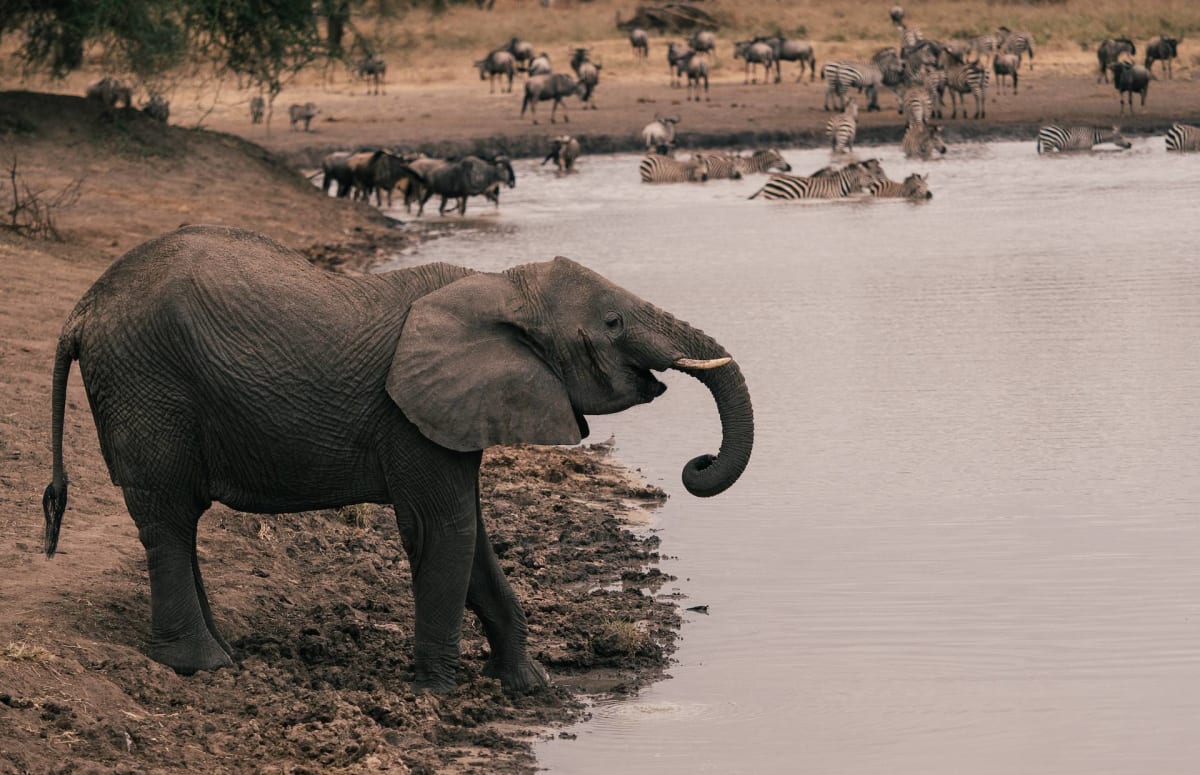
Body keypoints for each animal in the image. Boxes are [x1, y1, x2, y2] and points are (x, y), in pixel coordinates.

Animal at [44, 223, 758, 691]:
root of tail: (82, 310)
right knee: (168, 517)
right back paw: (203, 666)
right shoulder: (410, 417)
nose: (695, 464)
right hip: (146, 384)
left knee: (179, 522)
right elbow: (444, 531)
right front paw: (441, 692)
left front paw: (528, 685)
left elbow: (472, 535)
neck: (502, 285)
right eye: (612, 324)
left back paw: (221, 654)